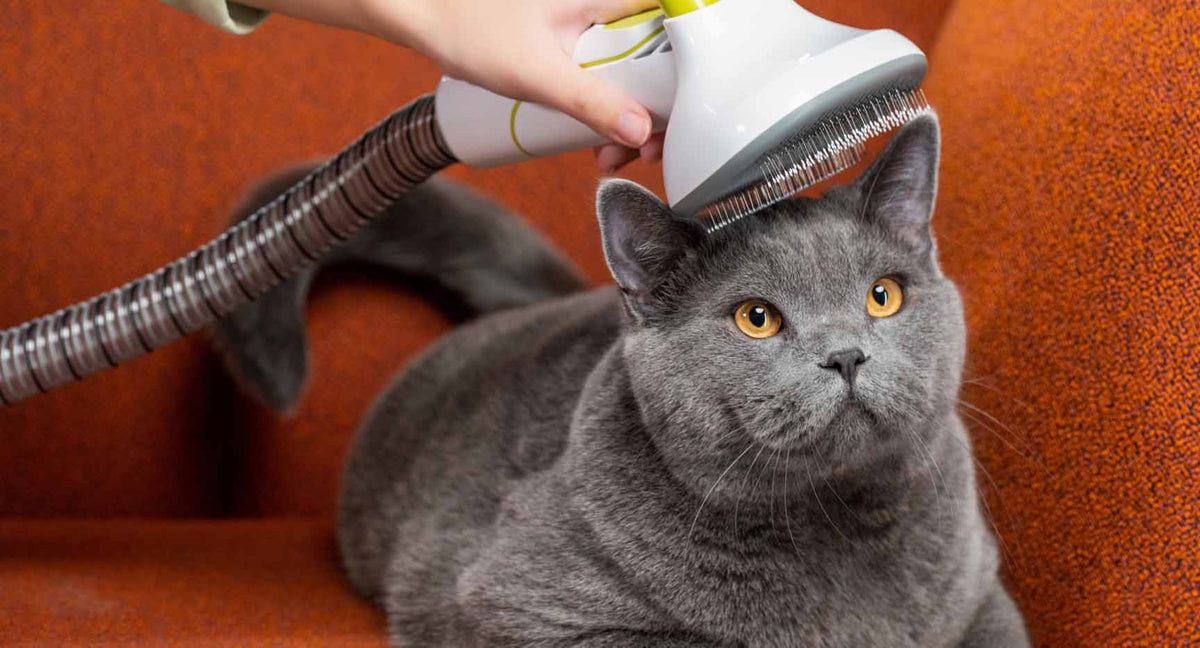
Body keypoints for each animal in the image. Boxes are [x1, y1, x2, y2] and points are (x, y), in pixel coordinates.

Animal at [213, 114, 1022, 643]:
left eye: (883, 296)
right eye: (757, 318)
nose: (848, 355)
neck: (836, 519)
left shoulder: (983, 596)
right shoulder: (515, 606)